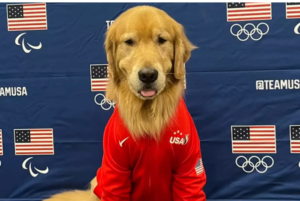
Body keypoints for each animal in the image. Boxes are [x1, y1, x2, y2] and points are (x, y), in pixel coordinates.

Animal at [42, 4, 197, 201]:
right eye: (129, 42)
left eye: (162, 40)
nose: (148, 75)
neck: (148, 116)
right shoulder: (115, 173)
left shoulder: (189, 171)